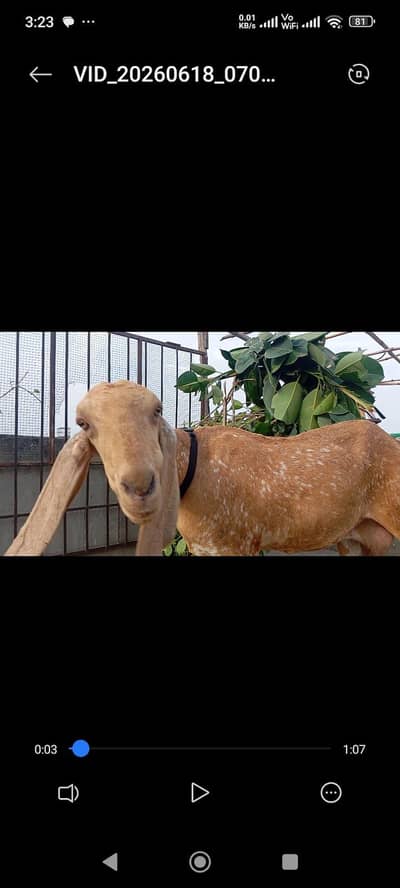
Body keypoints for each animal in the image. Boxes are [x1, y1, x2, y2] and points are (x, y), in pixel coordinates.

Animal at [4, 381, 400, 557]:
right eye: (84, 423)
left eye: (157, 410)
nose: (141, 488)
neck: (192, 474)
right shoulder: (204, 548)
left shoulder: (238, 546)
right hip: (356, 537)